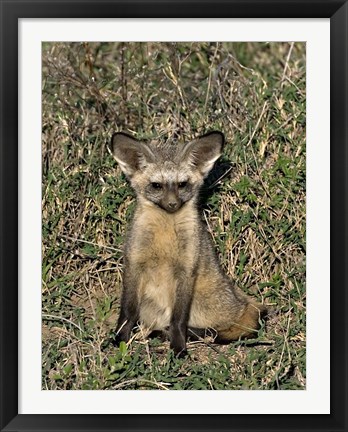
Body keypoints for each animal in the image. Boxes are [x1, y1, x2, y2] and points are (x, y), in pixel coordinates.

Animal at [111, 132, 266, 358]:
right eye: (156, 185)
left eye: (182, 184)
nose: (172, 204)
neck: (164, 237)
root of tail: (239, 298)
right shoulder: (134, 263)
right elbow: (127, 312)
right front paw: (120, 338)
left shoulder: (186, 270)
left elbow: (179, 319)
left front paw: (178, 347)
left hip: (204, 303)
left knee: (229, 325)